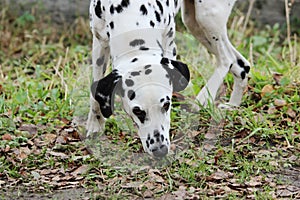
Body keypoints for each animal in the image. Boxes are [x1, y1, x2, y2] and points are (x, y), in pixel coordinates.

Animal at [86, 0, 251, 159]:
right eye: (137, 111)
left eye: (166, 105)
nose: (160, 150)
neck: (130, 13)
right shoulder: (99, 43)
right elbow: (95, 90)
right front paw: (95, 125)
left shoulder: (169, 44)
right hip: (193, 22)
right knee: (241, 65)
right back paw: (232, 105)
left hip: (207, 16)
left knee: (227, 59)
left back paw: (203, 97)